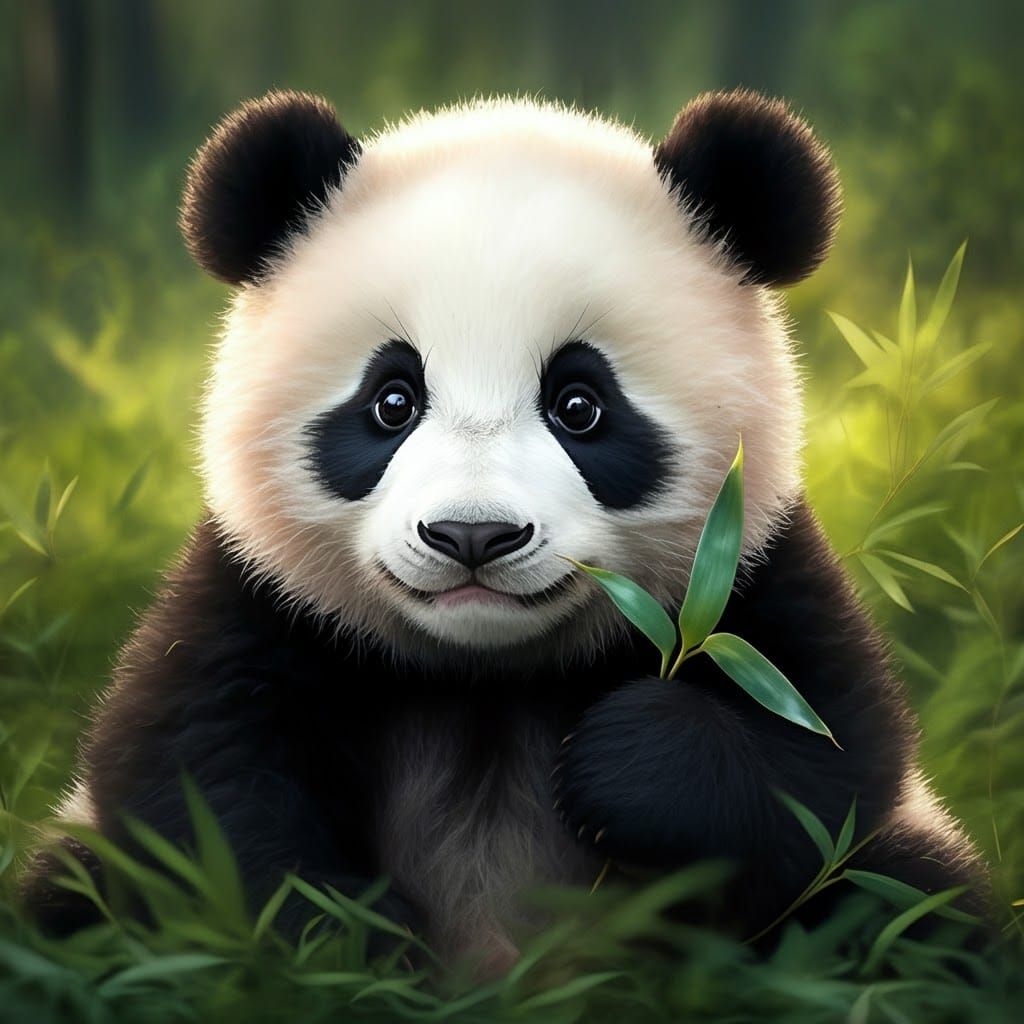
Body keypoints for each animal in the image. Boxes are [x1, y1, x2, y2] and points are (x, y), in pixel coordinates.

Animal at [25, 89, 985, 968]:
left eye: (579, 405)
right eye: (392, 400)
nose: (472, 536)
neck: (482, 677)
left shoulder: (760, 574)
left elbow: (829, 769)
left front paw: (626, 758)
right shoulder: (256, 599)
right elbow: (201, 791)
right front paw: (349, 947)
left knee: (912, 904)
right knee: (72, 901)